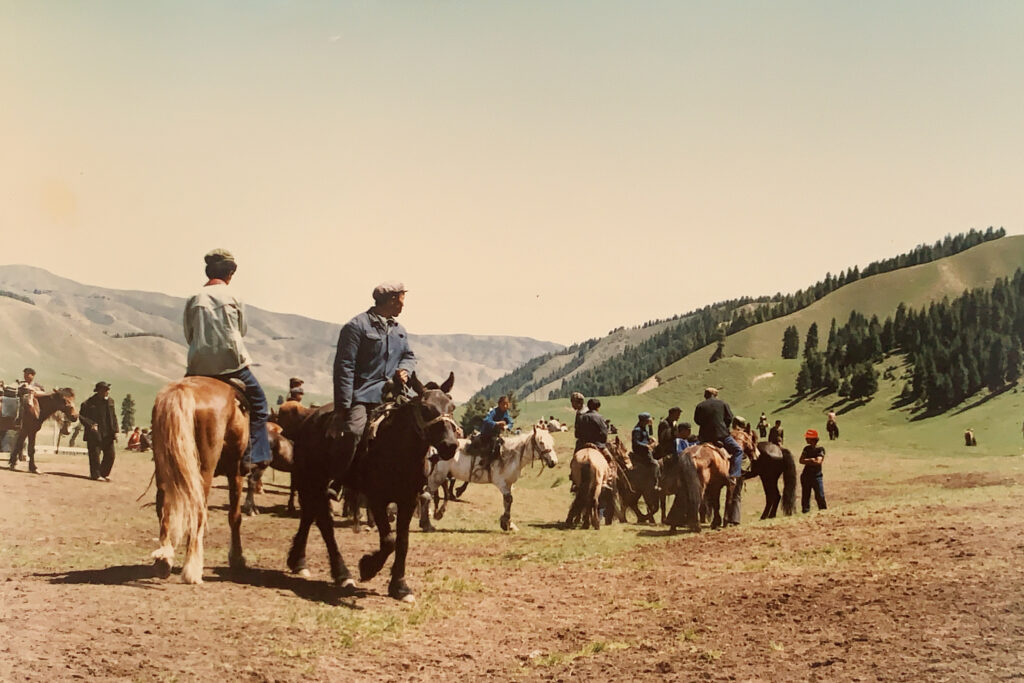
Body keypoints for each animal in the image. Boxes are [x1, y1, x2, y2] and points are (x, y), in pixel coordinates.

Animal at [149, 376, 250, 585]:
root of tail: (183, 389)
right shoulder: (236, 471)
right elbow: (235, 516)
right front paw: (237, 558)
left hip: (164, 470)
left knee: (163, 506)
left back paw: (163, 562)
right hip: (203, 471)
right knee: (197, 512)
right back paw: (192, 570)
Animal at [280, 374, 456, 602]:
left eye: (451, 406)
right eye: (426, 408)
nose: (450, 445)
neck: (396, 447)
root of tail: (309, 420)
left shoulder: (408, 501)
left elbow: (403, 541)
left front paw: (400, 586)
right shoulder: (377, 499)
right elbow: (389, 541)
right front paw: (368, 568)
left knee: (310, 516)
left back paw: (299, 561)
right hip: (312, 480)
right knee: (324, 524)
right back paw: (342, 574)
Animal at [417, 421, 561, 532]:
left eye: (551, 442)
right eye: (541, 443)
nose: (554, 462)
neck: (510, 455)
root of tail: (432, 448)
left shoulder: (509, 484)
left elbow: (507, 502)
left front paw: (509, 524)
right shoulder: (501, 483)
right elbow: (509, 500)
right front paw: (506, 523)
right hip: (437, 477)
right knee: (426, 497)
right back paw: (427, 524)